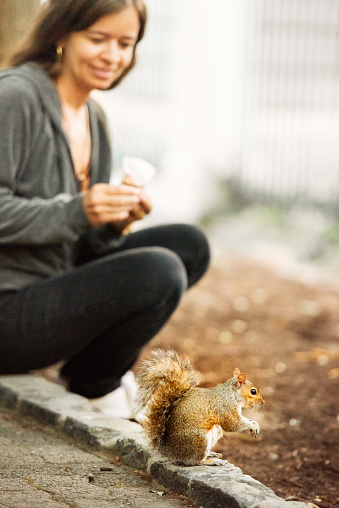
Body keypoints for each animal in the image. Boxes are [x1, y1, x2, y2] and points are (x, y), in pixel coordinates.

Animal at [135, 350, 266, 464]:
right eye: (253, 391)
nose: (263, 403)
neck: (231, 394)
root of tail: (170, 452)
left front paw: (254, 424)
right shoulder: (225, 408)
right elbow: (233, 425)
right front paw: (253, 425)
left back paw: (211, 454)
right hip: (199, 439)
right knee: (193, 461)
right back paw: (209, 462)